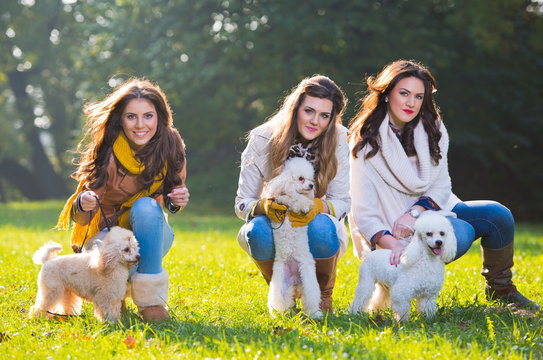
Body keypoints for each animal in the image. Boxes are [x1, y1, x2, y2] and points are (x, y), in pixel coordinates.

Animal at [264, 157, 324, 318]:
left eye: (310, 179)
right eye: (301, 178)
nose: (311, 185)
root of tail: (295, 279)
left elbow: (298, 200)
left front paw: (304, 204)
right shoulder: (280, 196)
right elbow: (286, 198)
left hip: (308, 276)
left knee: (310, 297)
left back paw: (314, 314)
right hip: (281, 282)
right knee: (279, 299)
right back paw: (279, 314)